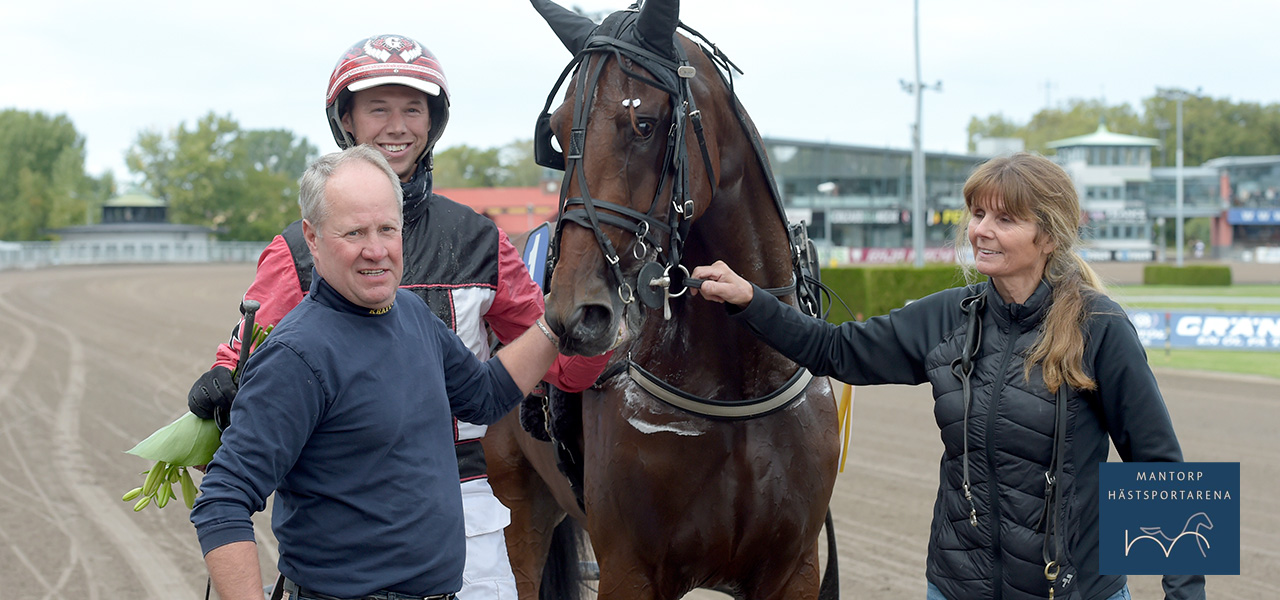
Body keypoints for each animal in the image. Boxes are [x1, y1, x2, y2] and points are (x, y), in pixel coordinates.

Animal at [481, 2, 839, 596]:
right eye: (555, 131)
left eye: (643, 123)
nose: (574, 314)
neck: (737, 383)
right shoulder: (630, 568)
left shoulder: (793, 569)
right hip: (515, 505)